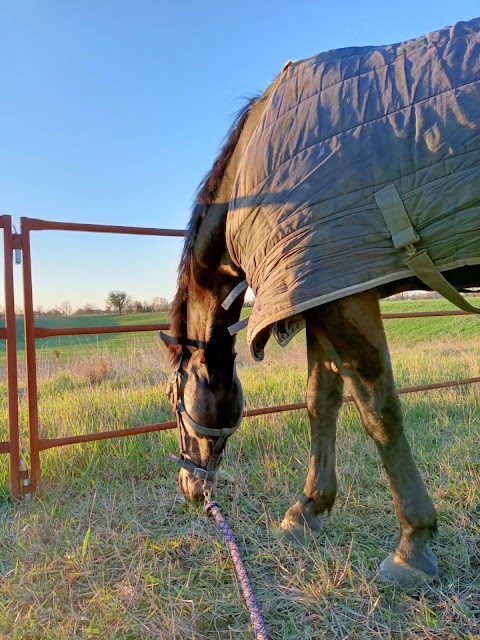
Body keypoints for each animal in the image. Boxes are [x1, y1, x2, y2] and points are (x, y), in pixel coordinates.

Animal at [161, 18, 480, 592]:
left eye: (173, 398)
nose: (190, 487)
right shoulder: (319, 292)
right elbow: (321, 400)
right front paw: (307, 510)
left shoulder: (342, 294)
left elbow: (378, 409)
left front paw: (413, 544)